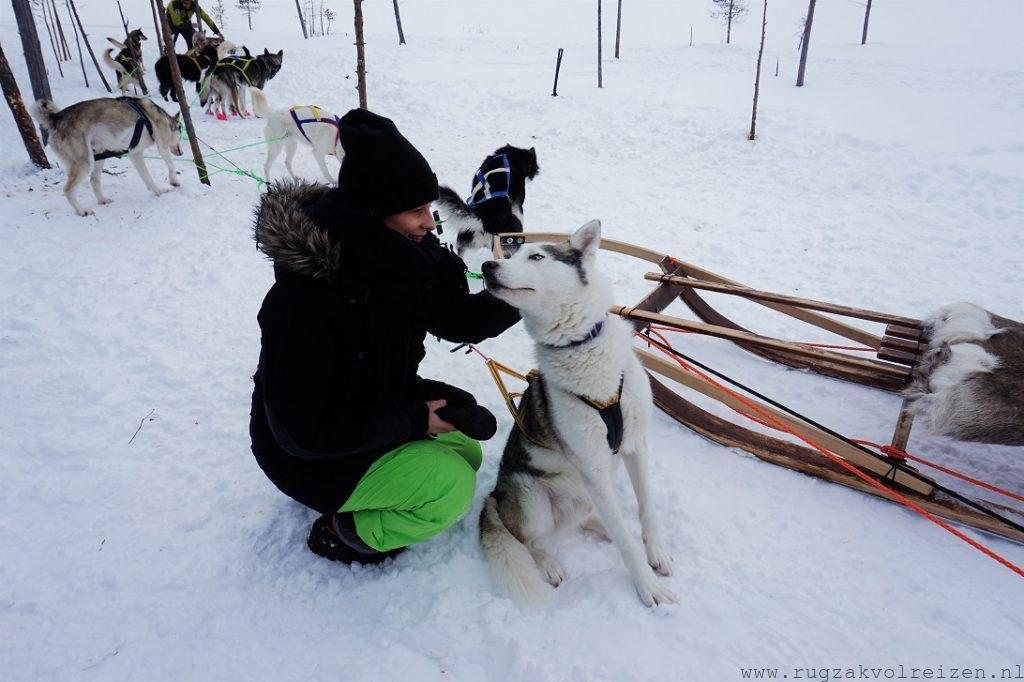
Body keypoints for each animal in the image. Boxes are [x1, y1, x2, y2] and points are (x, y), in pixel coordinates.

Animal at [31, 96, 184, 215]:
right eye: (180, 135)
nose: (182, 153)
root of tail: (56, 118)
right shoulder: (162, 146)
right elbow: (171, 165)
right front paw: (173, 183)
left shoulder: (135, 154)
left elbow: (147, 178)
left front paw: (157, 191)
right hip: (85, 163)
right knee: (68, 190)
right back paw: (82, 211)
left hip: (98, 154)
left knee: (94, 180)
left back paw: (102, 200)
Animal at [477, 219, 675, 606]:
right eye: (510, 254)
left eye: (535, 256)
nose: (487, 266)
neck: (580, 347)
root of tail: (494, 496)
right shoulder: (594, 467)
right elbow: (628, 544)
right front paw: (648, 587)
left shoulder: (635, 445)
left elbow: (646, 508)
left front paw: (656, 552)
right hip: (534, 502)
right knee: (526, 539)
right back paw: (548, 564)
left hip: (583, 495)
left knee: (589, 518)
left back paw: (601, 526)